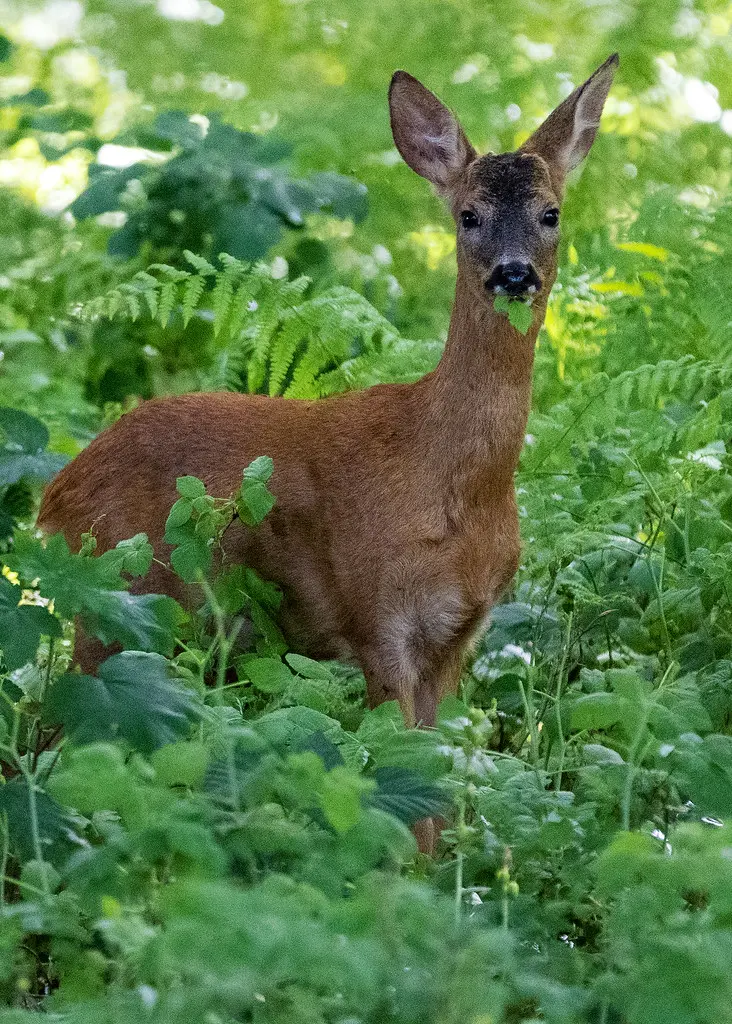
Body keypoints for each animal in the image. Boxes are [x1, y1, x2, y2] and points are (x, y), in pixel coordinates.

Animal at [39, 56, 618, 845]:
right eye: (467, 215)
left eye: (550, 213)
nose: (513, 273)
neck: (455, 489)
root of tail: (57, 491)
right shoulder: (374, 614)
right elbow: (400, 781)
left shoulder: (457, 638)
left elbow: (434, 794)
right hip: (121, 590)